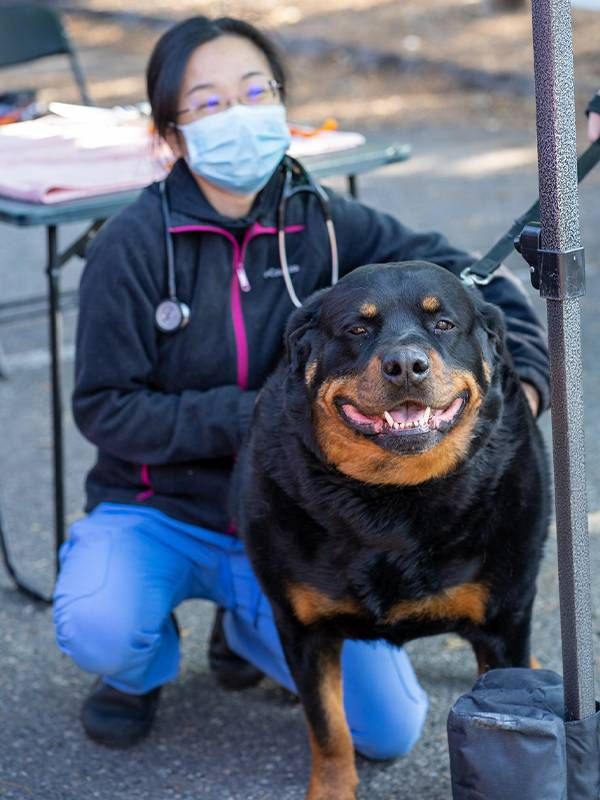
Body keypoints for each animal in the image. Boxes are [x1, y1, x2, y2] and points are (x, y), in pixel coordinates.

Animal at [237, 262, 552, 800]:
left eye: (443, 324)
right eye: (357, 330)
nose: (405, 364)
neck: (394, 499)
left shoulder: (505, 618)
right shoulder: (300, 625)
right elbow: (328, 726)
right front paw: (332, 789)